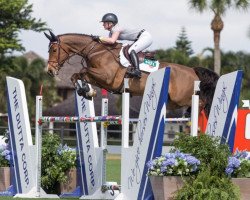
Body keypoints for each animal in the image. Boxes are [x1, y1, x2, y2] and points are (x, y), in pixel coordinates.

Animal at [44, 30, 219, 117]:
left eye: (54, 50)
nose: (50, 70)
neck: (97, 51)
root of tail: (192, 70)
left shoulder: (108, 78)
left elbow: (82, 71)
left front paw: (87, 90)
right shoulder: (101, 79)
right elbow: (76, 76)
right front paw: (86, 91)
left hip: (181, 96)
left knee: (202, 102)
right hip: (173, 101)